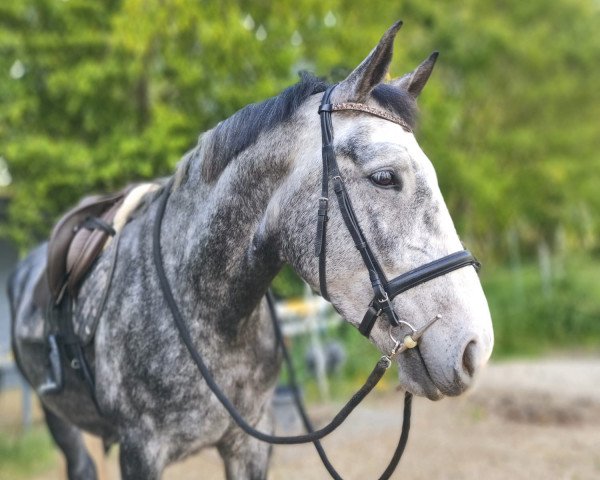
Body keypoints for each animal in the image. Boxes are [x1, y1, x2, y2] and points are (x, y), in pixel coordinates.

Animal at [7, 23, 492, 480]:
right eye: (386, 177)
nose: (476, 347)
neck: (206, 310)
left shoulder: (250, 443)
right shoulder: (141, 451)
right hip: (58, 418)